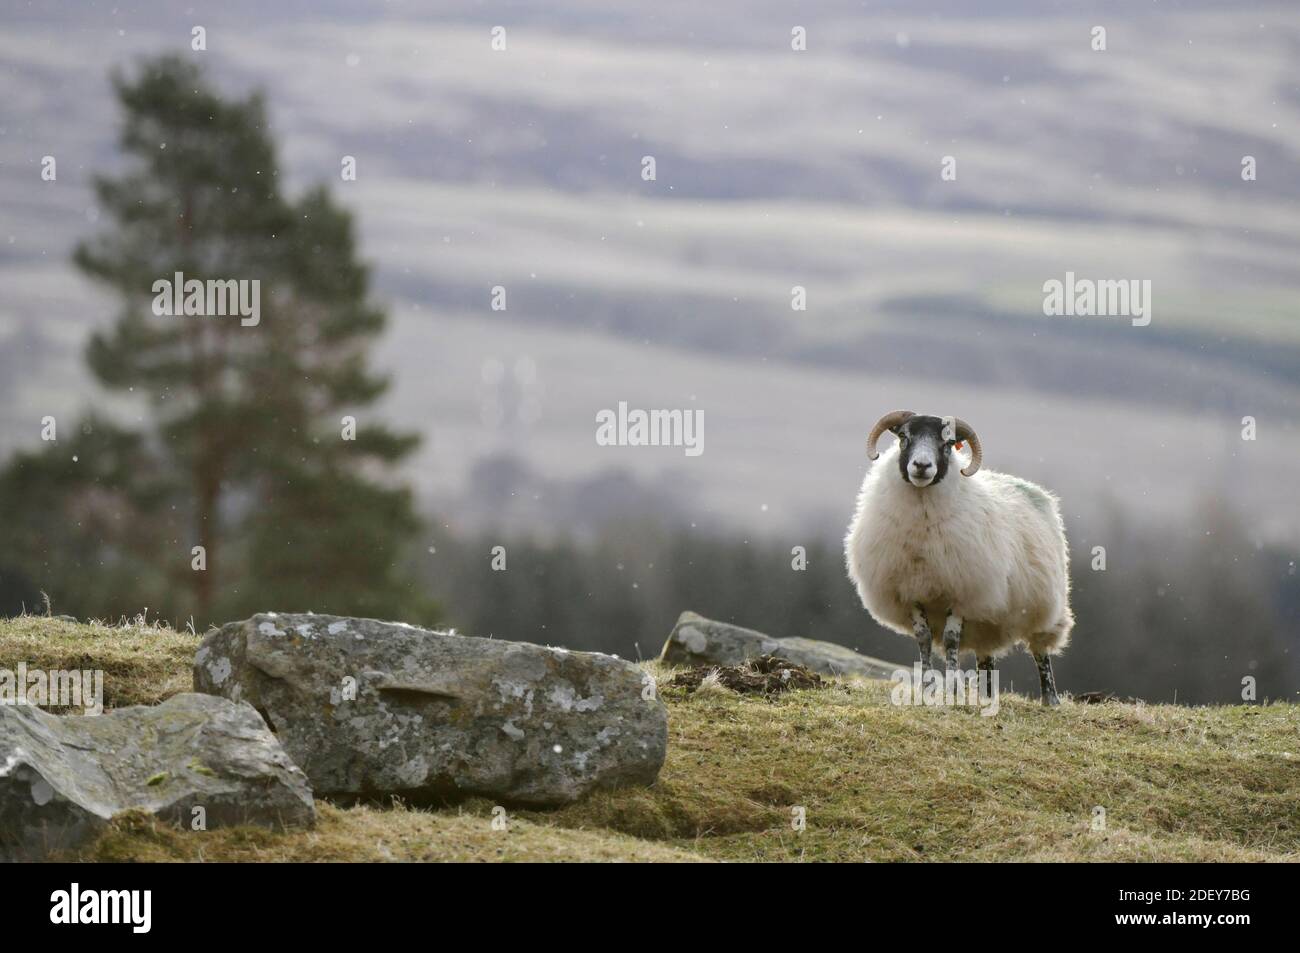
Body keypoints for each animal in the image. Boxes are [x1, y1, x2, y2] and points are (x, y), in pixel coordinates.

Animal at [842, 408, 1076, 696]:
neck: (922, 528)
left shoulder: (962, 591)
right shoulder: (910, 591)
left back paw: (1049, 698)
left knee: (1041, 650)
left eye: (948, 443)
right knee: (986, 658)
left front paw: (953, 686)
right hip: (986, 623)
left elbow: (951, 639)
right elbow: (924, 638)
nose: (921, 466)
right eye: (903, 437)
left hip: (1043, 605)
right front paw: (927, 686)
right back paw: (986, 695)